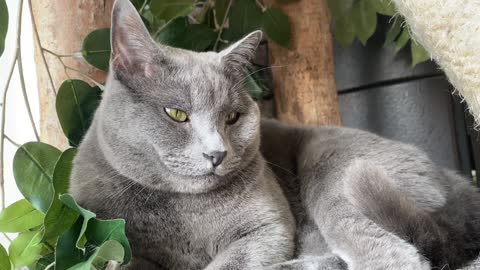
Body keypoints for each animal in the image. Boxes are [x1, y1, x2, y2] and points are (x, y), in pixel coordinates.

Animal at [69, 0, 480, 270]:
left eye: (232, 117)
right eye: (177, 114)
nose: (216, 154)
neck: (184, 210)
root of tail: (456, 182)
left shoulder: (267, 228)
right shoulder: (115, 239)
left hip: (334, 168)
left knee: (394, 255)